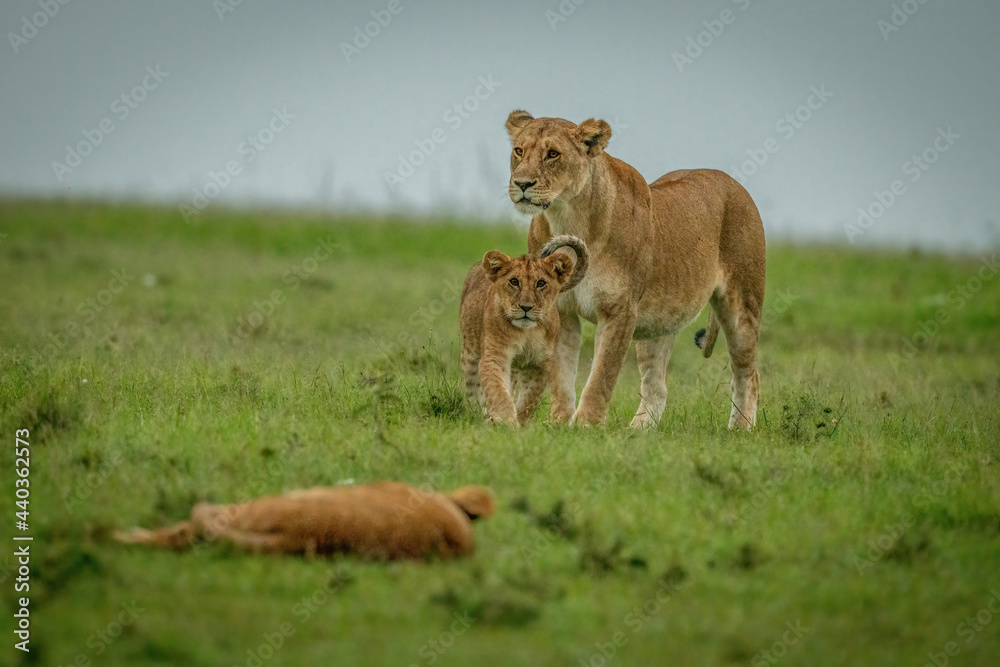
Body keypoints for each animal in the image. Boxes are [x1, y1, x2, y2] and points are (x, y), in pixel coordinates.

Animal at [460, 235, 588, 425]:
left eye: (541, 283)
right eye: (514, 281)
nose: (526, 307)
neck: (527, 333)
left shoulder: (540, 364)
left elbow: (530, 398)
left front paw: (521, 422)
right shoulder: (495, 356)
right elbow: (498, 391)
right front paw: (505, 421)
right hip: (469, 354)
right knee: (473, 389)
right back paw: (478, 414)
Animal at [505, 110, 766, 429]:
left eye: (552, 154)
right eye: (519, 151)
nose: (522, 184)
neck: (566, 215)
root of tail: (733, 182)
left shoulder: (620, 311)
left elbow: (602, 375)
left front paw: (585, 425)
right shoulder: (559, 310)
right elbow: (561, 376)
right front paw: (558, 423)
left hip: (742, 308)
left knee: (748, 375)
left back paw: (740, 429)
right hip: (659, 320)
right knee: (656, 386)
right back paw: (639, 431)